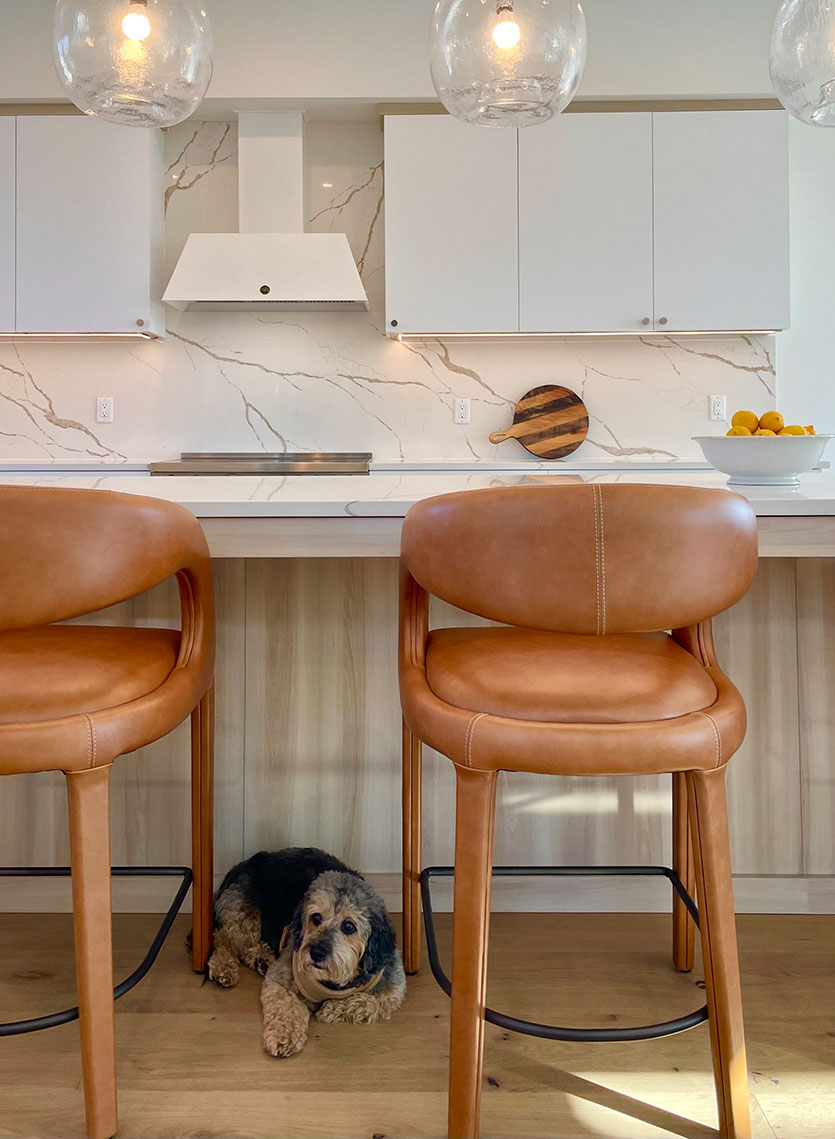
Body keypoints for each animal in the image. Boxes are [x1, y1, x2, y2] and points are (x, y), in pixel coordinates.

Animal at [207, 847, 405, 1056]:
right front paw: (284, 1036)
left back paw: (261, 959)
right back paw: (223, 968)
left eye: (349, 926)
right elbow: (286, 1005)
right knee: (222, 939)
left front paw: (331, 1009)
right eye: (316, 917)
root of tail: (241, 865)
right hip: (245, 918)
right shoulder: (282, 977)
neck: (334, 981)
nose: (316, 953)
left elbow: (373, 1002)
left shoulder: (393, 987)